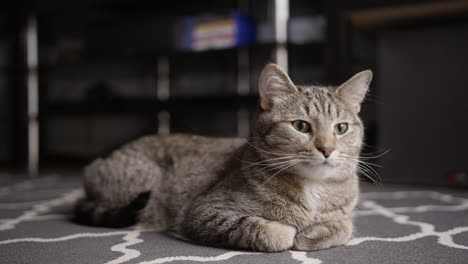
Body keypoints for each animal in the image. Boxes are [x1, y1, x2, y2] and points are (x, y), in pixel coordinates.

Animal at [74, 63, 372, 252]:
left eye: (341, 128)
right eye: (301, 126)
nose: (327, 149)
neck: (313, 188)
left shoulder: (344, 214)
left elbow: (345, 226)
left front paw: (314, 233)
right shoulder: (203, 212)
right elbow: (265, 230)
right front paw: (288, 232)